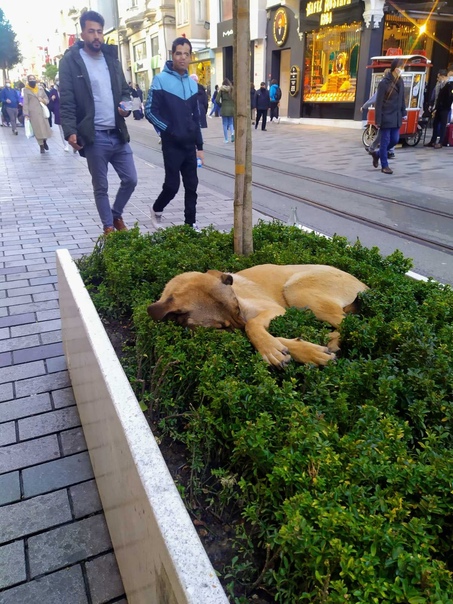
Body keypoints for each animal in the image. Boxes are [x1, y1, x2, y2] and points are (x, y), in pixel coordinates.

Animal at [148, 264, 368, 368]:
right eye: (221, 328)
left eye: (237, 308)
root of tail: (364, 285)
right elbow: (261, 333)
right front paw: (292, 349)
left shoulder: (273, 310)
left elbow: (251, 325)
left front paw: (273, 349)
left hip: (296, 290)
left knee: (354, 324)